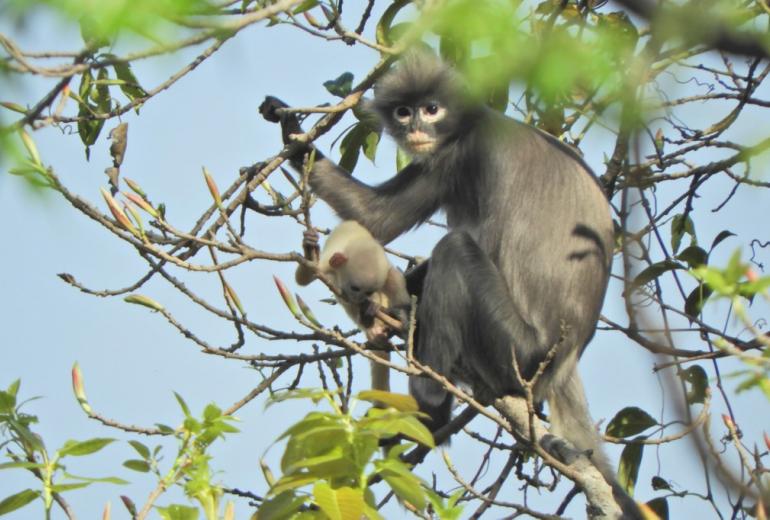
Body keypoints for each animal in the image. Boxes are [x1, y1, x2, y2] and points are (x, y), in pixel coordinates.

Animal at [294, 220, 412, 398]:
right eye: (355, 288)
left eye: (368, 291)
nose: (361, 298)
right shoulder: (328, 263)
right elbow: (304, 278)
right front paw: (309, 246)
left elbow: (393, 278)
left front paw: (402, 315)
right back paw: (369, 322)